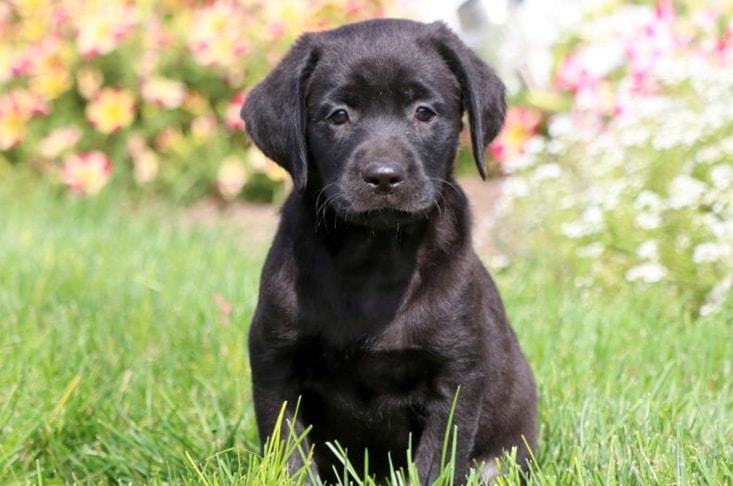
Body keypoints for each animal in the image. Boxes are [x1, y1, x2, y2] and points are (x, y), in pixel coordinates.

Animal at [243, 17, 536, 484]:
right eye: (338, 115)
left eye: (424, 112)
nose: (383, 176)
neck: (373, 259)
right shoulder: (275, 362)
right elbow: (289, 456)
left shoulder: (455, 376)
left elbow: (435, 464)